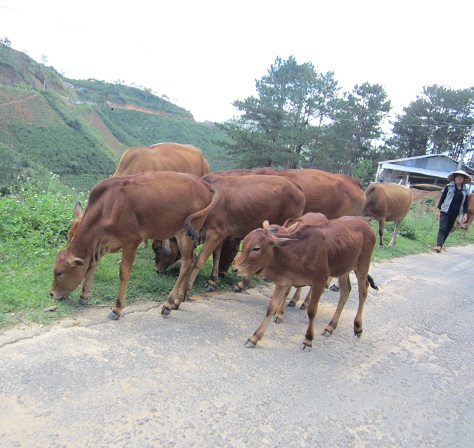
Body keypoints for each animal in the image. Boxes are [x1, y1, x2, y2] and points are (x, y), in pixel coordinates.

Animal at [51, 170, 221, 320]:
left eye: (59, 272)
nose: (51, 293)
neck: (107, 206)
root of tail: (204, 184)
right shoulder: (103, 243)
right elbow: (92, 265)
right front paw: (83, 295)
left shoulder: (131, 241)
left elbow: (124, 272)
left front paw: (117, 308)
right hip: (185, 234)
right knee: (192, 260)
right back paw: (178, 301)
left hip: (186, 233)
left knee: (186, 264)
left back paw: (168, 304)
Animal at [233, 217, 378, 350]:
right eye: (244, 243)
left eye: (256, 248)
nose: (235, 269)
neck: (298, 252)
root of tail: (364, 220)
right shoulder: (283, 282)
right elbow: (271, 308)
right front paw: (254, 338)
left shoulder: (319, 282)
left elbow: (312, 311)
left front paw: (308, 339)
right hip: (343, 269)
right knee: (345, 292)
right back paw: (330, 327)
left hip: (362, 266)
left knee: (363, 292)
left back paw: (358, 327)